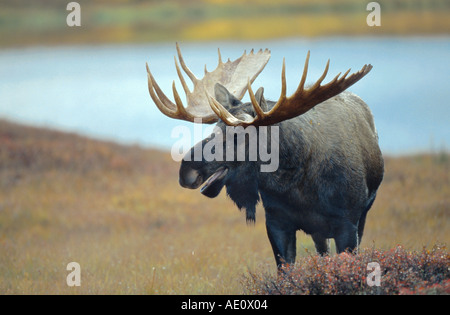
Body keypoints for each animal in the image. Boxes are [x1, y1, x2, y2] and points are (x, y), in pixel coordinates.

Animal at [147, 44, 384, 270]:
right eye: (214, 128)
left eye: (237, 134)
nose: (186, 171)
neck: (299, 187)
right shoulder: (276, 222)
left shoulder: (348, 223)